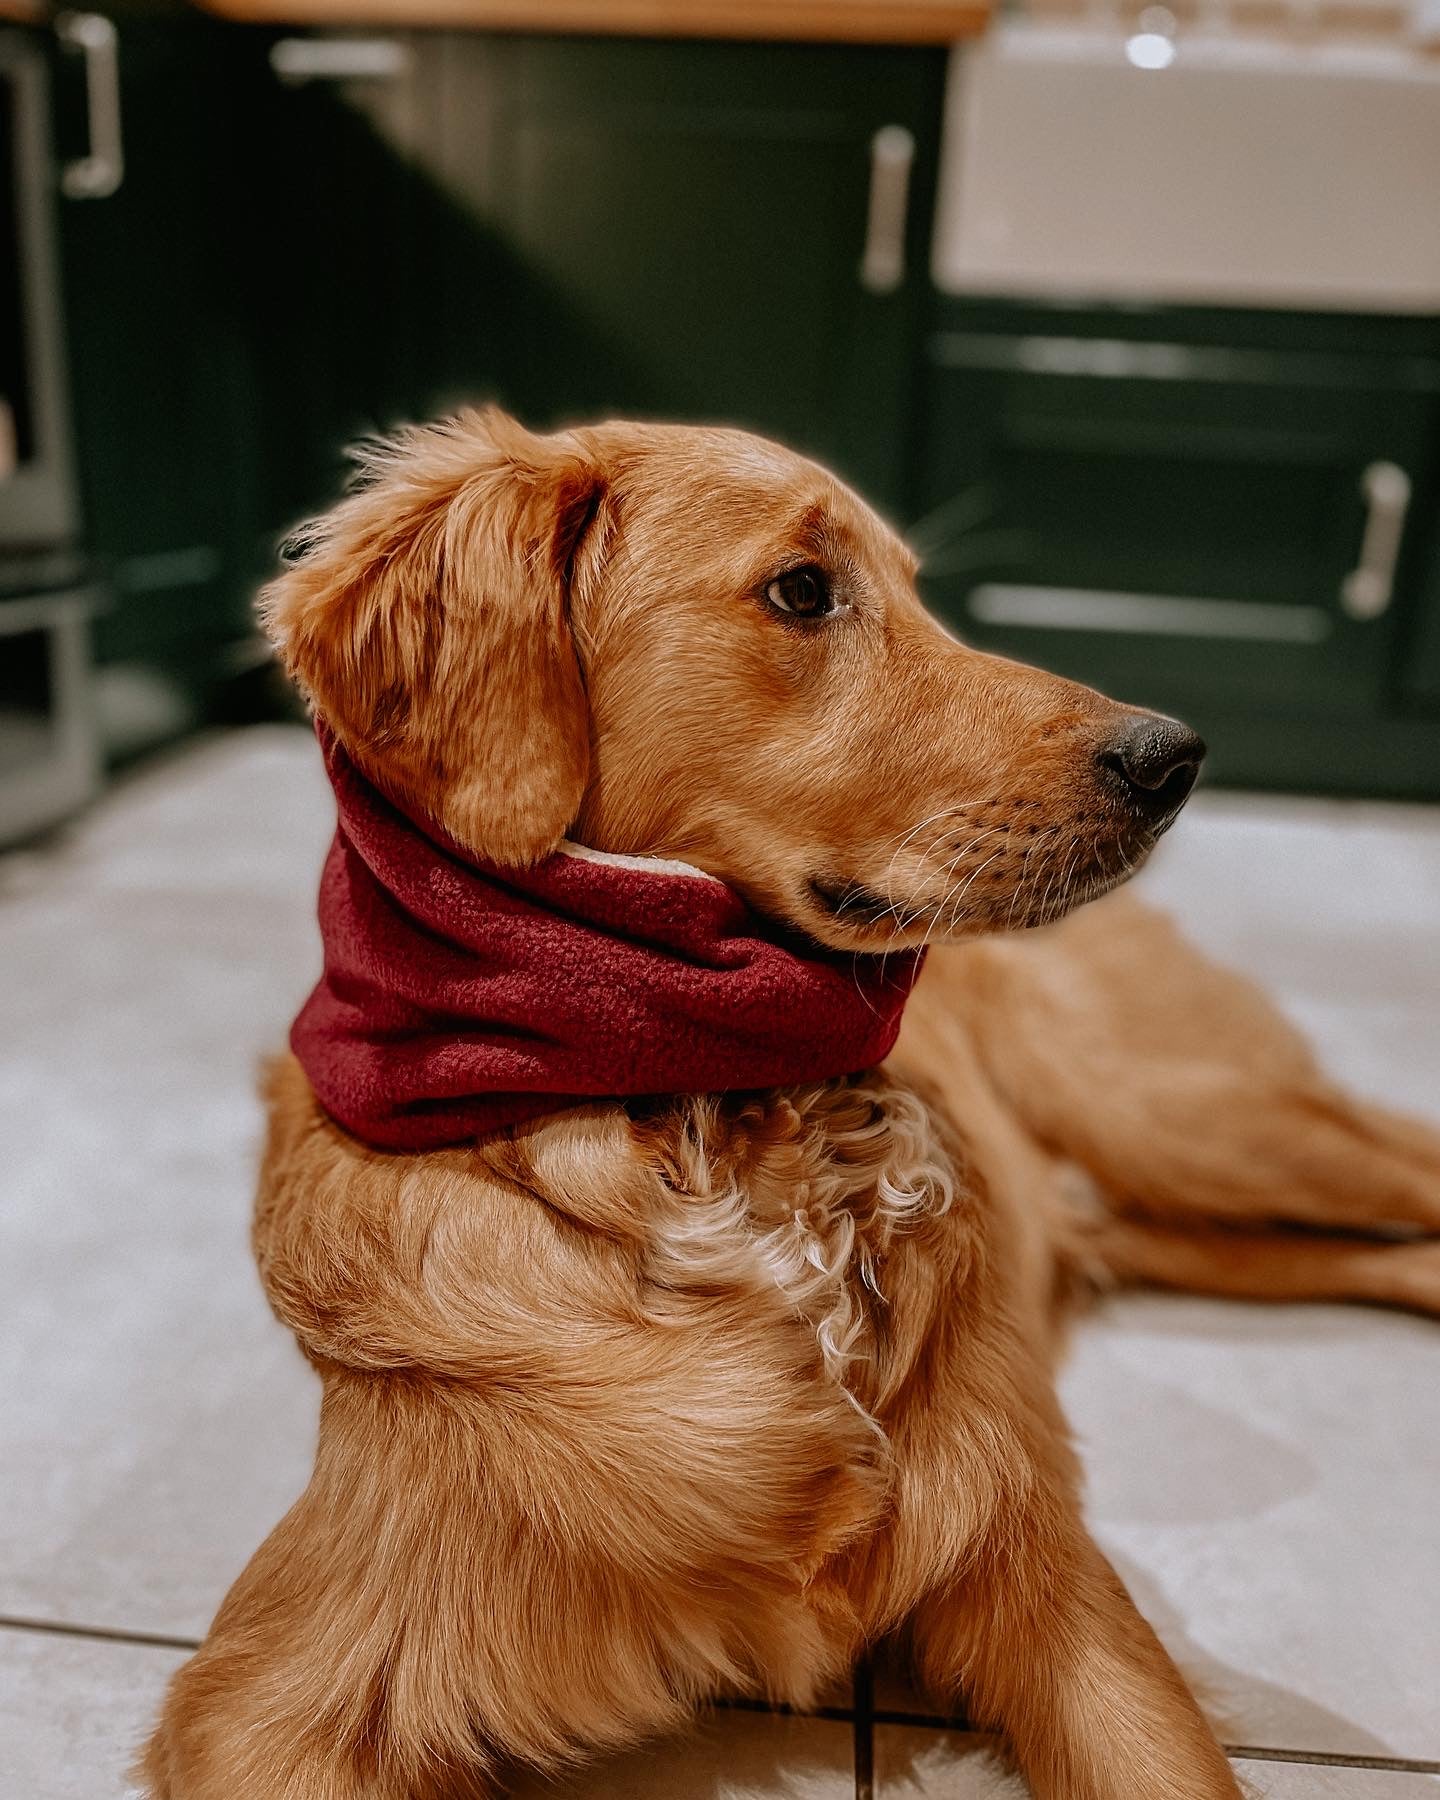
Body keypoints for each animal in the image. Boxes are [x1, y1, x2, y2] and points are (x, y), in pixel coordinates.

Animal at [137, 412, 1440, 1800]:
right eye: (805, 593)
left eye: (918, 590)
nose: (1174, 757)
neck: (713, 1128)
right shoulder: (273, 1697)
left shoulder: (1047, 1579)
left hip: (1192, 1123)